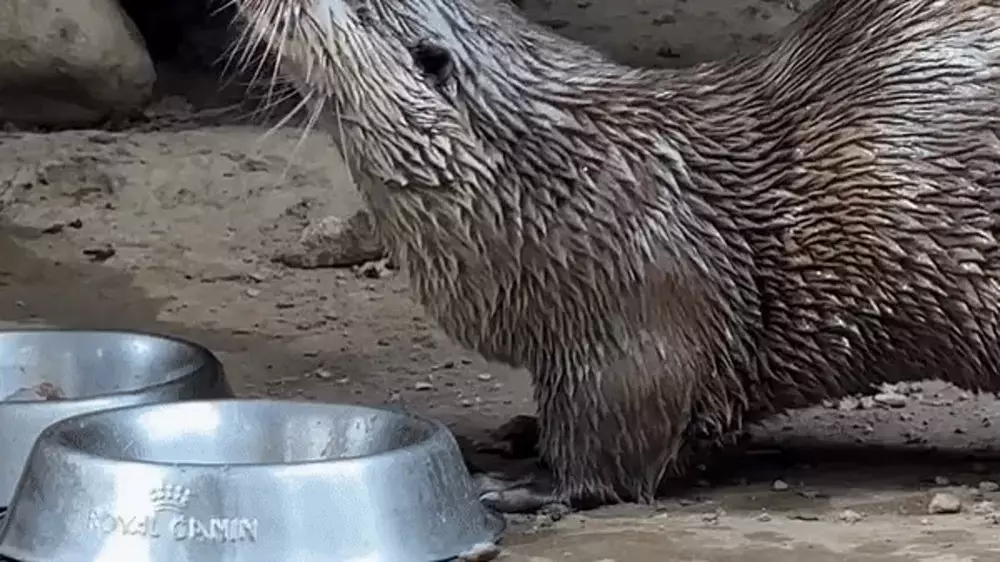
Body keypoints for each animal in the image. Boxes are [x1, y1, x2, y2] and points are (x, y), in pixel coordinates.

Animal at [236, 0, 1000, 510]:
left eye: (349, 4)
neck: (548, 187)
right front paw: (521, 433)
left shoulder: (641, 305)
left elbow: (619, 444)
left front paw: (527, 487)